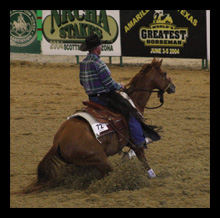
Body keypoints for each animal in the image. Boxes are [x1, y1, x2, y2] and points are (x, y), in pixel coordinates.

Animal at [20, 58, 175, 192]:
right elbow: (143, 156)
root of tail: (58, 141)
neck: (133, 101)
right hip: (100, 159)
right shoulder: (136, 137)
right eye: (165, 73)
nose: (173, 87)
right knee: (108, 175)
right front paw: (152, 175)